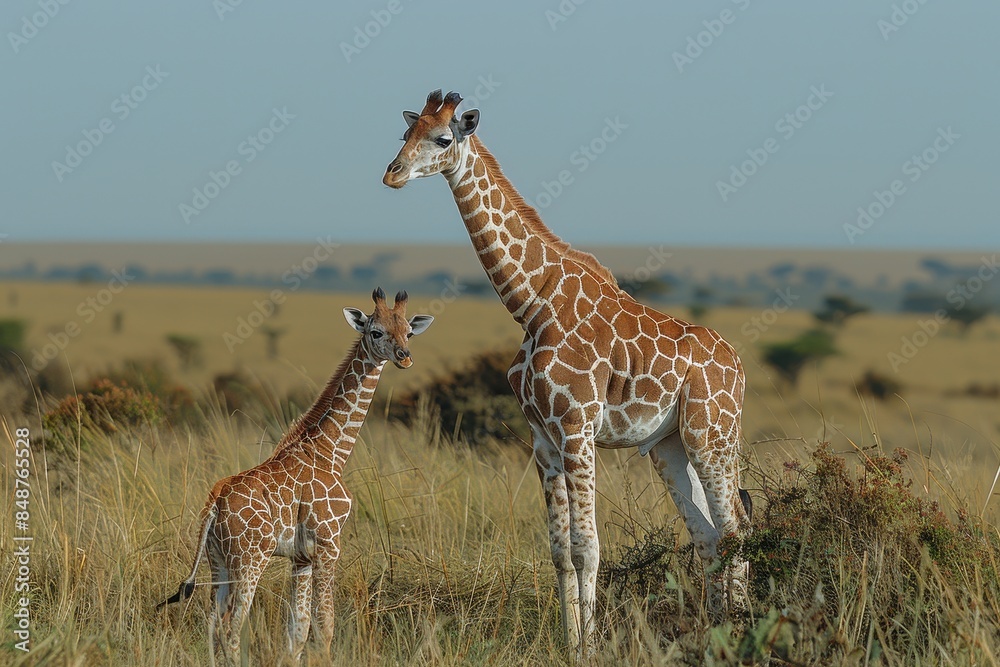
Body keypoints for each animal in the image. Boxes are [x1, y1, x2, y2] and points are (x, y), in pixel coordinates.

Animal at [158, 288, 433, 665]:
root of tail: (215, 502)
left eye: (408, 331)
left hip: (218, 560)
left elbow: (298, 631)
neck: (330, 451)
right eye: (376, 332)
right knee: (231, 627)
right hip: (250, 559)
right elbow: (324, 625)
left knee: (212, 624)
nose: (405, 358)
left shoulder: (301, 557)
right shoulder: (329, 543)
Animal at [383, 90, 752, 656]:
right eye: (405, 133)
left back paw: (740, 630)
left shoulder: (578, 428)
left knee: (736, 530)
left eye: (443, 139)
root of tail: (737, 366)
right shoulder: (543, 437)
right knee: (710, 535)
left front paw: (591, 648)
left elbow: (589, 547)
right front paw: (569, 641)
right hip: (670, 445)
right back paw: (716, 632)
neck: (530, 302)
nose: (393, 174)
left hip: (712, 433)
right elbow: (561, 550)